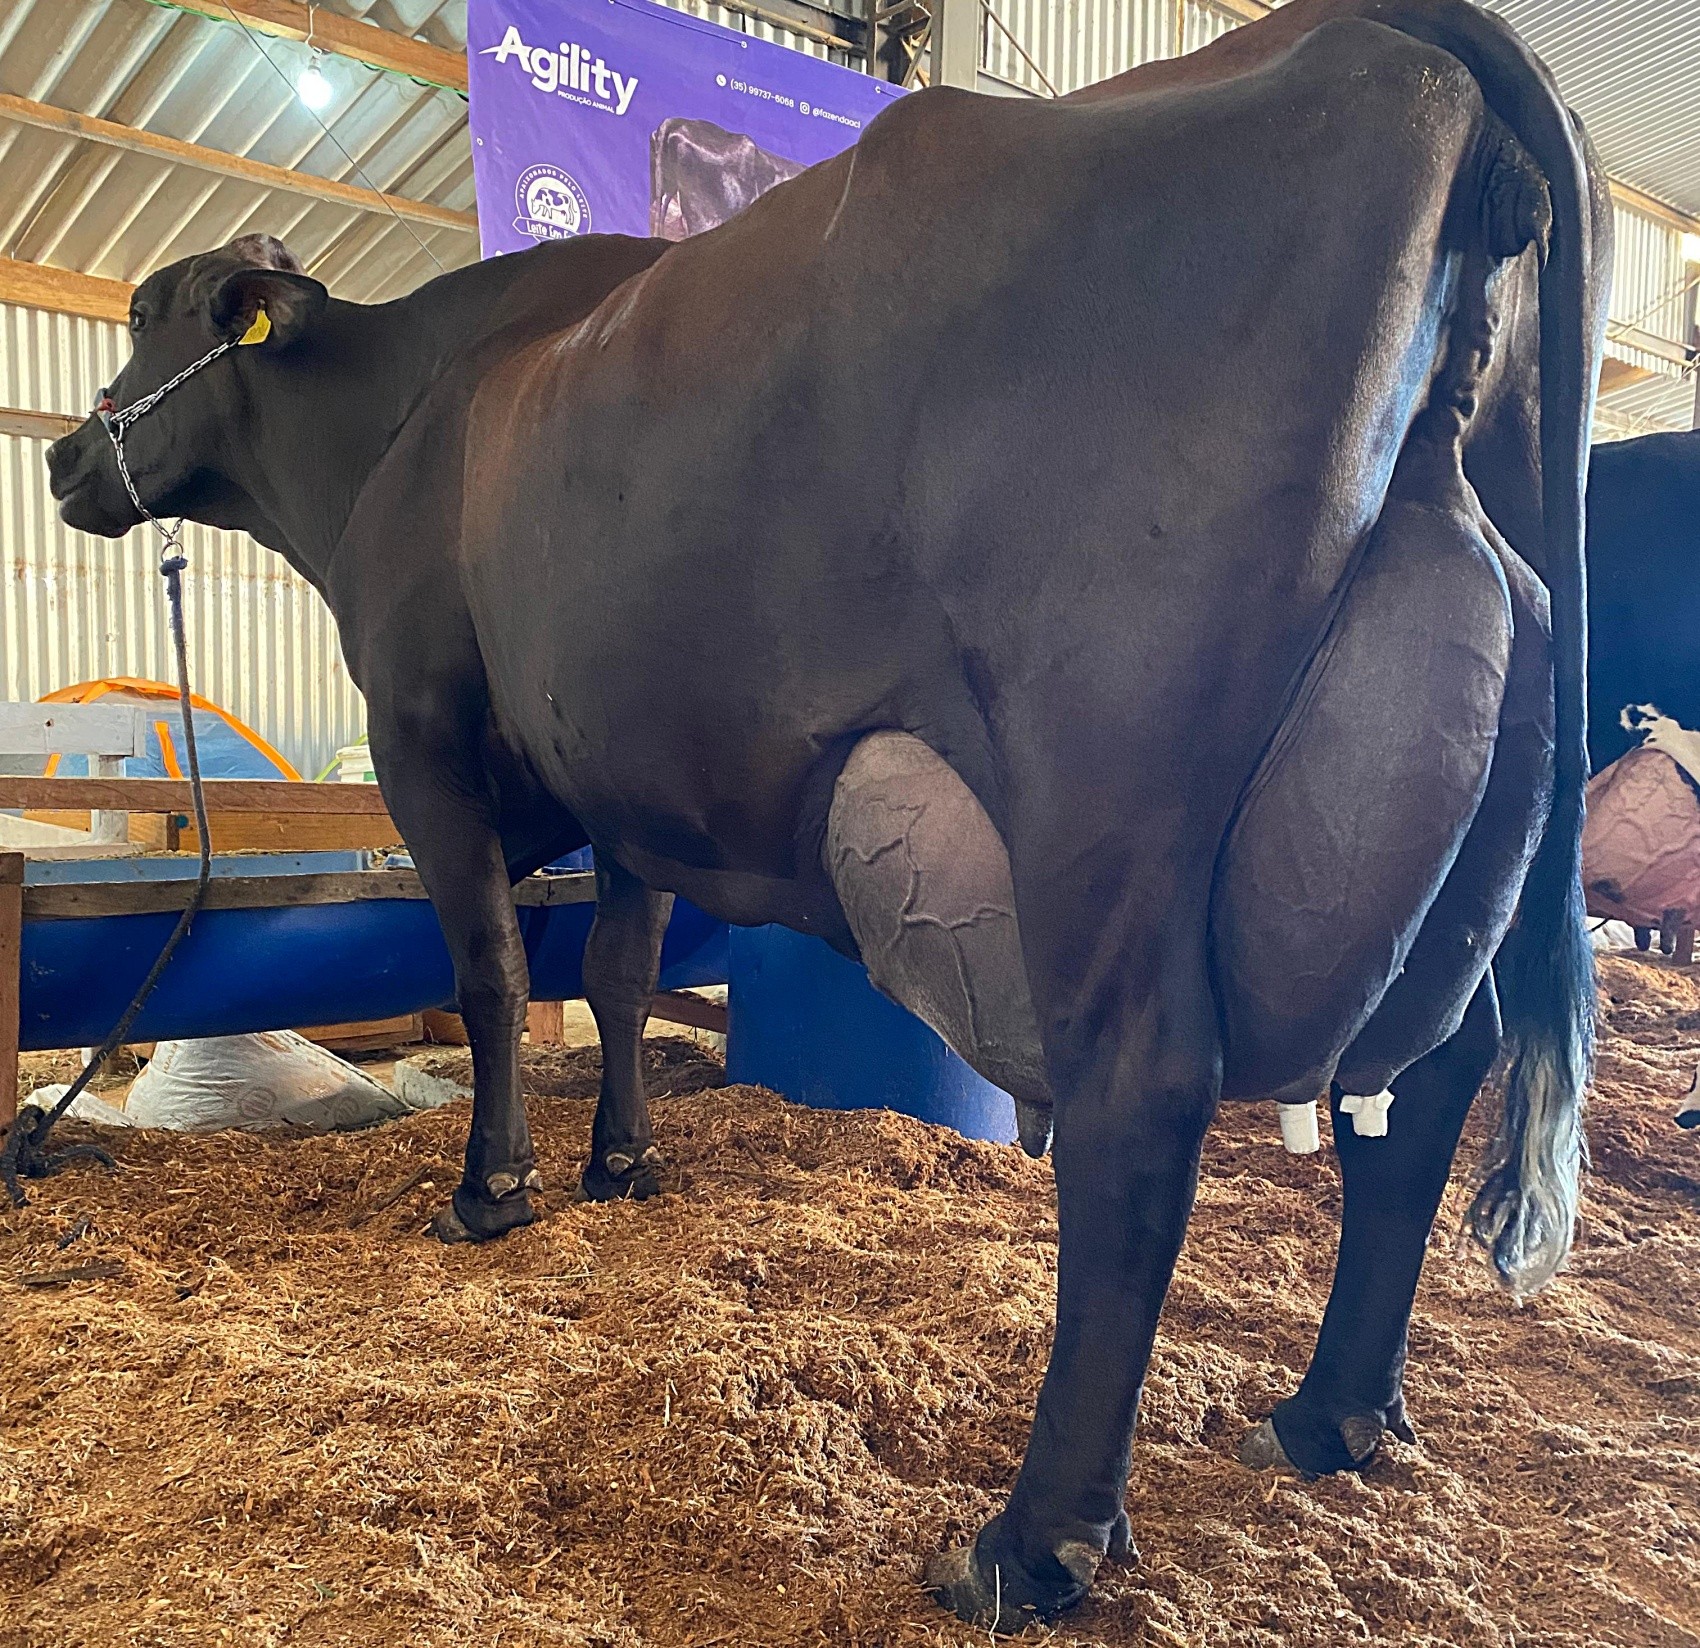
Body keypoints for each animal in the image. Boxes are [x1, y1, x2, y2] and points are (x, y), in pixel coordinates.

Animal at [44, 0, 1608, 1626]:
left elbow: (490, 972)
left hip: (1107, 786)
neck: (408, 419)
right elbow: (616, 971)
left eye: (153, 308)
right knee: (1438, 1070)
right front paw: (622, 1162)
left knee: (1142, 1096)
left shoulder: (426, 740)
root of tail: (1384, 36)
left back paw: (1028, 1544)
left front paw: (493, 1188)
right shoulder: (627, 780)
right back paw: (1331, 1417)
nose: (63, 455)